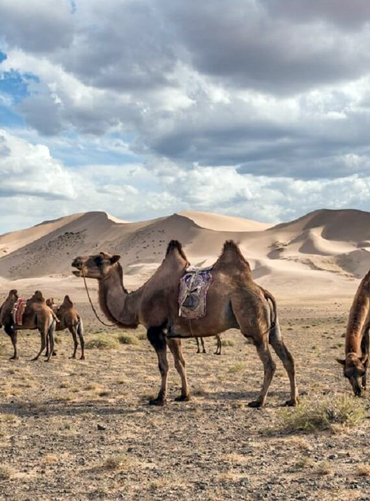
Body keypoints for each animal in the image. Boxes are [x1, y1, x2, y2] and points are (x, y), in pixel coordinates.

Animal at [71, 239, 298, 406]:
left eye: (99, 258)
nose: (75, 261)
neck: (135, 302)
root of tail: (262, 291)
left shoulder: (154, 330)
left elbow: (163, 366)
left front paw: (159, 398)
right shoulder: (172, 334)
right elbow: (180, 363)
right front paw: (183, 395)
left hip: (254, 325)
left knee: (270, 363)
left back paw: (258, 401)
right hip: (272, 328)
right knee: (288, 358)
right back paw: (292, 400)